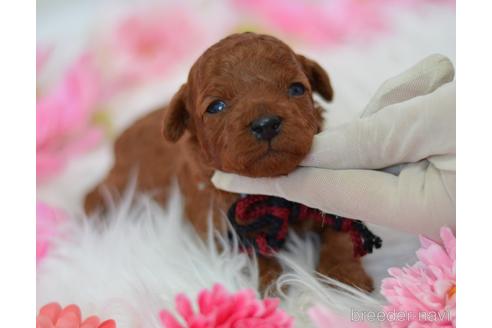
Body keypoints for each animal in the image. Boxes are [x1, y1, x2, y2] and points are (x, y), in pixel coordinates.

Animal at [86, 32, 372, 290]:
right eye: (216, 107)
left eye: (297, 89)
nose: (266, 124)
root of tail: (122, 135)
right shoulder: (220, 226)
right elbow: (251, 256)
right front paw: (269, 284)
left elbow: (342, 233)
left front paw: (346, 279)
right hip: (122, 182)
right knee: (97, 193)